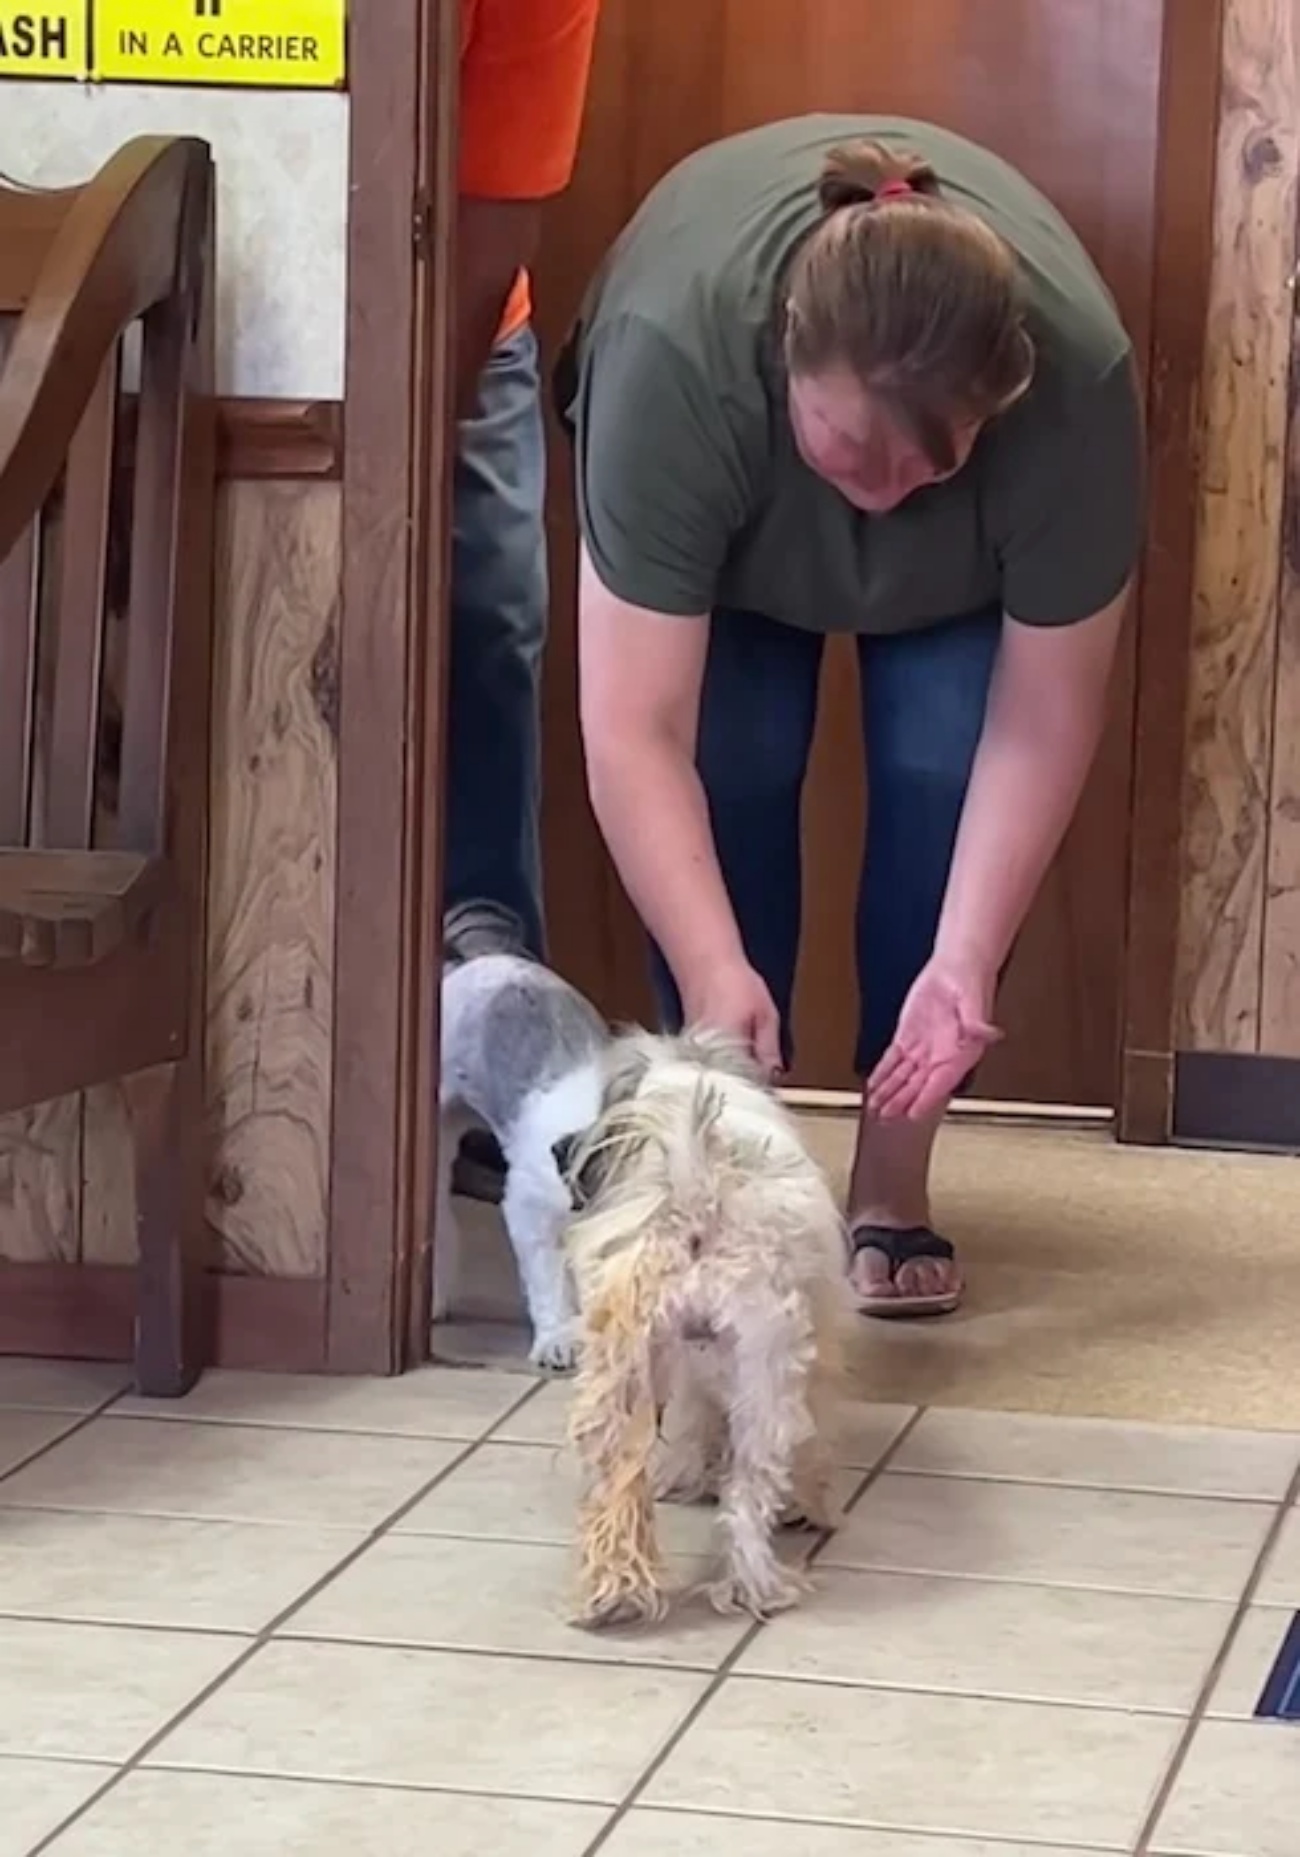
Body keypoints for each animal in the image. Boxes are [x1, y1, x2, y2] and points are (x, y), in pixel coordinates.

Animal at [557, 1032, 854, 1626]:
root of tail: (697, 1199)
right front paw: (811, 1505)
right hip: (768, 1376)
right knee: (746, 1497)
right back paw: (760, 1587)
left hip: (624, 1372)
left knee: (621, 1486)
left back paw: (614, 1595)